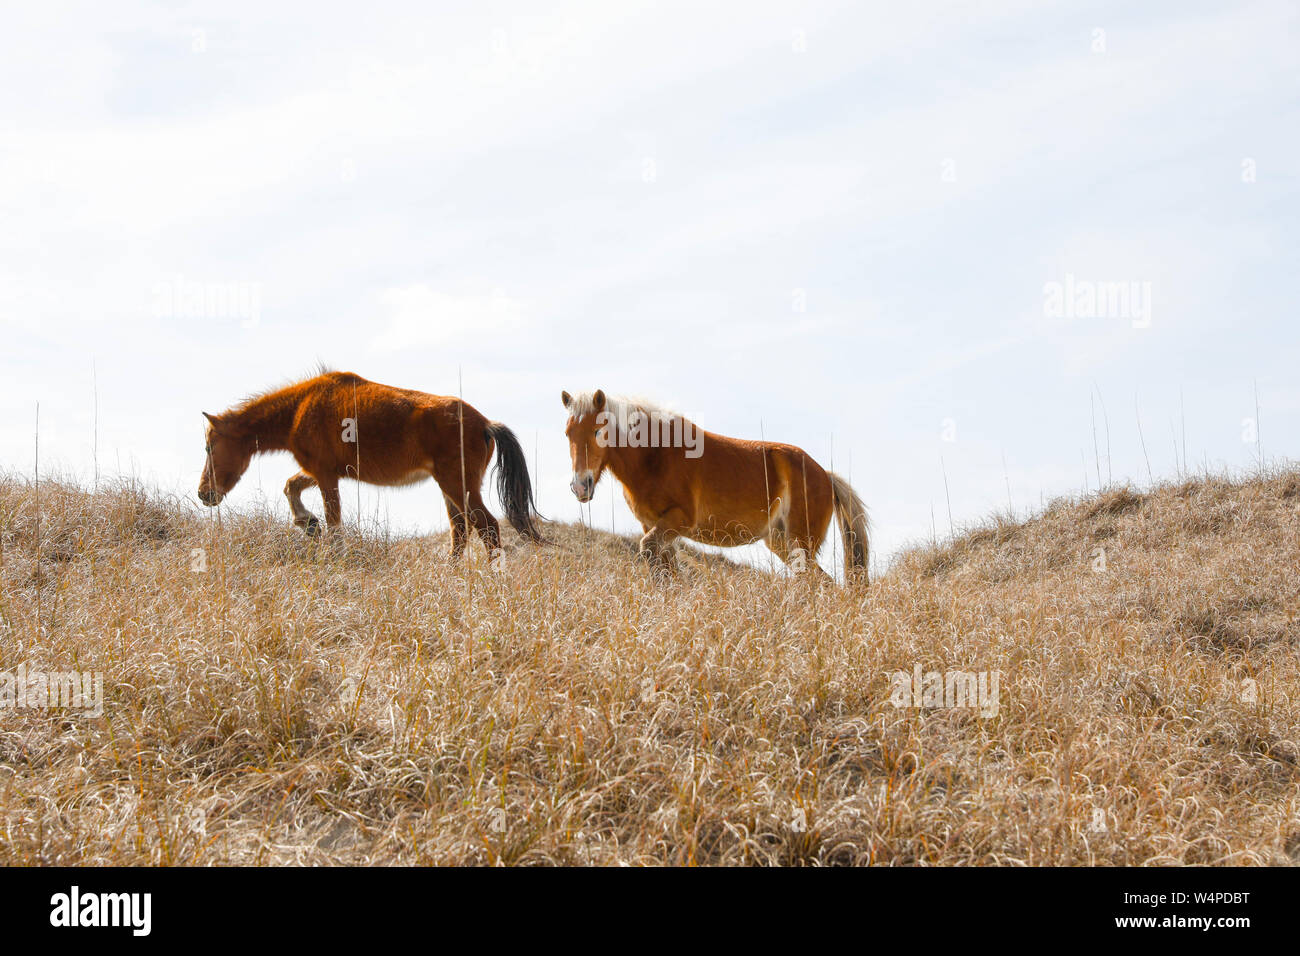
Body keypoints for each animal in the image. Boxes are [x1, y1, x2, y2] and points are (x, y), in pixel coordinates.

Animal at [197, 369, 543, 556]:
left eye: (209, 446)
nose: (204, 493)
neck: (299, 409)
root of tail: (485, 423)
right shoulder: (323, 471)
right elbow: (291, 486)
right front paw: (308, 523)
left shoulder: (325, 475)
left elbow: (334, 521)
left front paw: (325, 542)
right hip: (450, 487)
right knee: (460, 531)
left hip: (458, 485)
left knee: (487, 527)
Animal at [561, 390, 873, 582]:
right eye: (568, 433)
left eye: (598, 431)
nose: (580, 487)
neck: (655, 455)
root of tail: (825, 475)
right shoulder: (655, 527)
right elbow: (666, 569)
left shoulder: (677, 522)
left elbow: (649, 551)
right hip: (781, 542)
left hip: (800, 544)